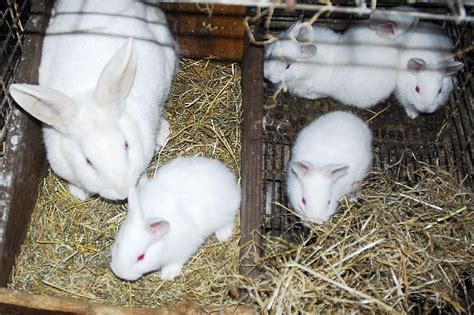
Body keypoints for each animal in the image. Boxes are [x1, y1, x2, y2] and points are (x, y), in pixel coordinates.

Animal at [110, 157, 241, 282]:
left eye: (141, 257)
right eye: (118, 245)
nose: (119, 273)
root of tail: (227, 175)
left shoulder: (182, 251)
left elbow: (174, 263)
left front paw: (167, 275)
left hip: (225, 213)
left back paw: (223, 235)